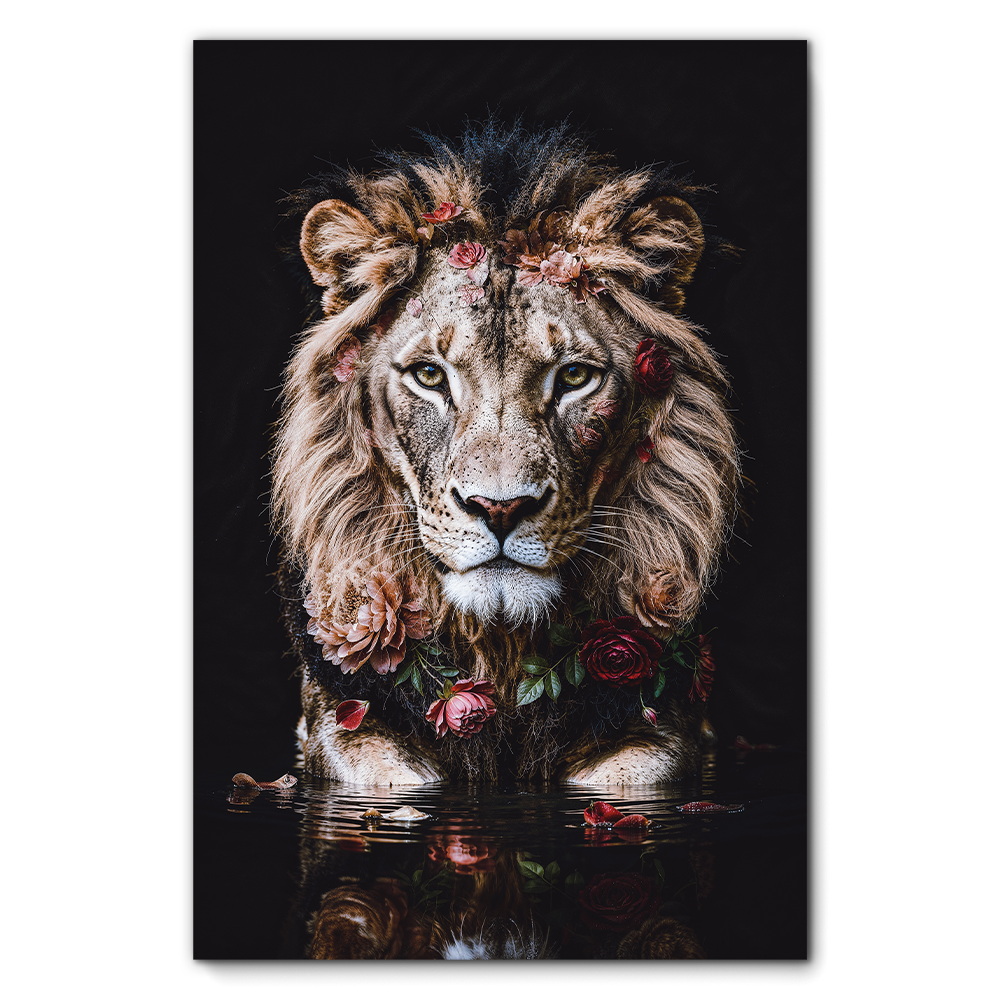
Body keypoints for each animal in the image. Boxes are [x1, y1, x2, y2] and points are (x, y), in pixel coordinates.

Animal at [273, 121, 739, 785]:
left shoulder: (671, 727)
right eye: (429, 376)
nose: (499, 508)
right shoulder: (340, 725)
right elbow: (390, 776)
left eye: (574, 376)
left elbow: (622, 777)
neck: (502, 654)